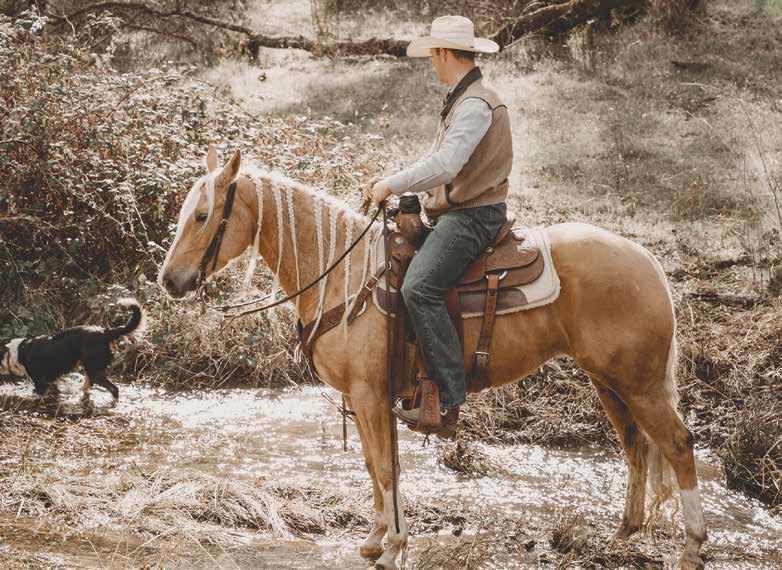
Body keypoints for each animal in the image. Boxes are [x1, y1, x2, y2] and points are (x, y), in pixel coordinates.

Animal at [0, 298, 145, 401]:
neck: (17, 351)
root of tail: (105, 332)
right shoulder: (51, 382)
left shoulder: (41, 383)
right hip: (89, 370)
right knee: (89, 387)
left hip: (94, 370)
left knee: (115, 389)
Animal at [158, 146, 707, 570]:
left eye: (203, 215)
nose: (168, 280)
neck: (343, 273)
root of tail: (648, 261)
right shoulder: (365, 398)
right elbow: (375, 464)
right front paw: (376, 537)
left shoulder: (371, 395)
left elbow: (385, 468)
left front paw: (393, 546)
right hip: (608, 380)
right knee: (636, 445)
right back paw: (622, 533)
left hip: (640, 384)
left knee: (677, 445)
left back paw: (693, 548)